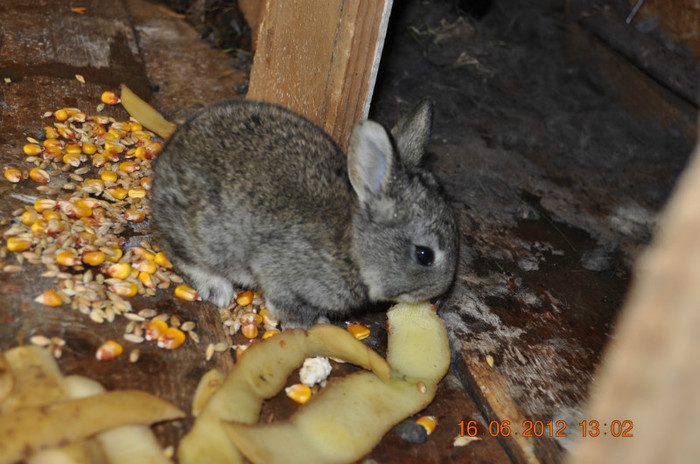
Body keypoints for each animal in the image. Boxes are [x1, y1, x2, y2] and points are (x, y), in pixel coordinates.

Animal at [150, 99, 460, 328]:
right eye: (424, 254)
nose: (440, 290)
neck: (354, 247)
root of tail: (164, 165)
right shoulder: (281, 275)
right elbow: (288, 306)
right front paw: (316, 324)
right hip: (203, 238)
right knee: (178, 252)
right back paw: (217, 289)